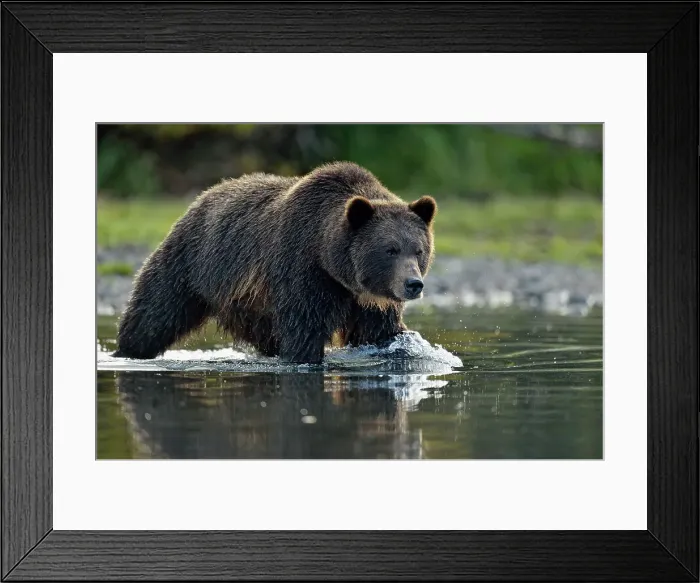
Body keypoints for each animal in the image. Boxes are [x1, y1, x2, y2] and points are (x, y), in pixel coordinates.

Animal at [113, 161, 437, 364]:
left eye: (418, 250)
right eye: (390, 250)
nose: (413, 284)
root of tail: (204, 195)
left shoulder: (369, 302)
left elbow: (379, 334)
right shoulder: (302, 270)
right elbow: (303, 330)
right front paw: (305, 356)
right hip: (189, 264)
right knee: (155, 312)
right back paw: (128, 350)